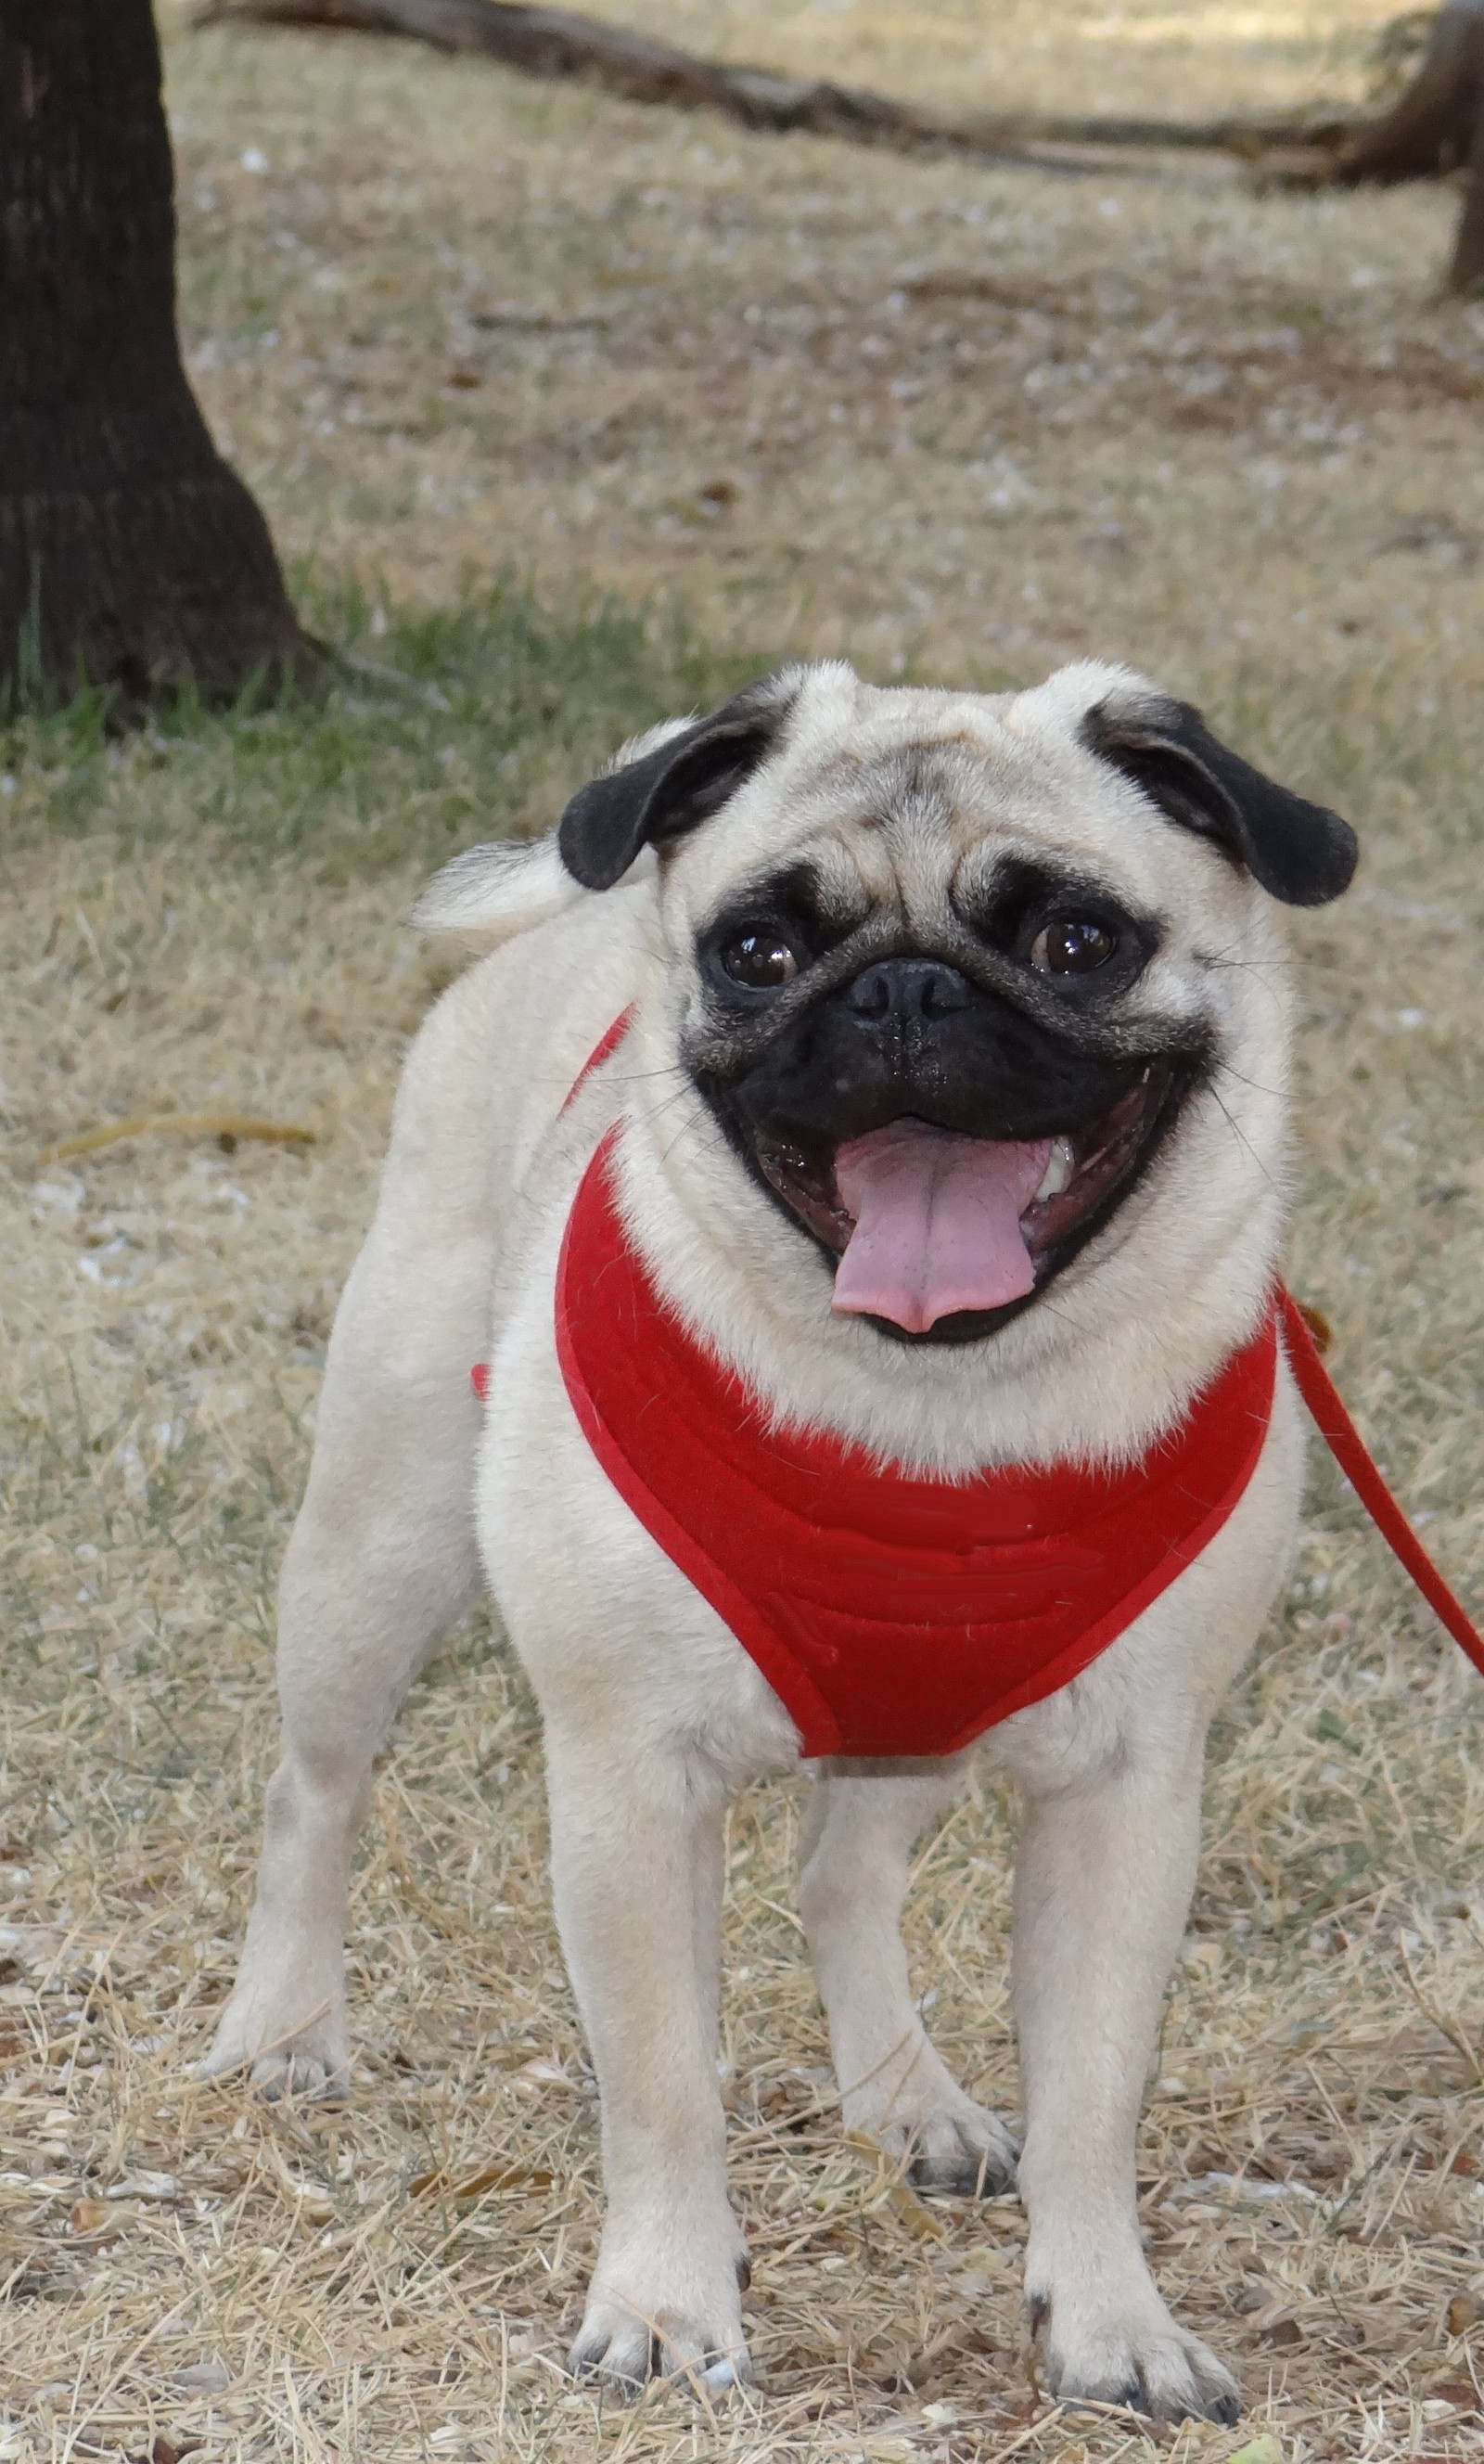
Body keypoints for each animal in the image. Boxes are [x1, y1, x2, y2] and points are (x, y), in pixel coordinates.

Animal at [204, 655, 1350, 2424]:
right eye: (761, 949)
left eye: (1078, 941)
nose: (903, 995)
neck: (934, 1407)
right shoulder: (627, 1783)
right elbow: (664, 2080)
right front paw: (669, 2305)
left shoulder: (1127, 1796)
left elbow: (1095, 2091)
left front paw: (1113, 2322)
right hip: (378, 1551)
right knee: (314, 1797)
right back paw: (284, 2029)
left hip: (927, 1720)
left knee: (838, 1879)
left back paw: (908, 2096)